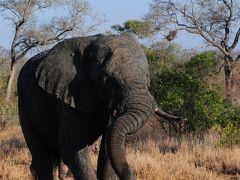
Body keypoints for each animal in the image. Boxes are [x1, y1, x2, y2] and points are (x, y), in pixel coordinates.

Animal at [17, 33, 180, 180]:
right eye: (104, 80)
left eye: (147, 76)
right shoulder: (68, 94)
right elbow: (73, 149)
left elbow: (107, 149)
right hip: (23, 106)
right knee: (43, 159)